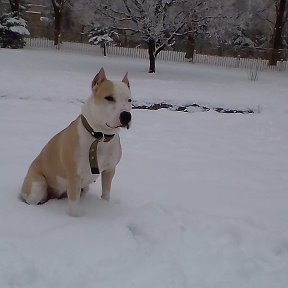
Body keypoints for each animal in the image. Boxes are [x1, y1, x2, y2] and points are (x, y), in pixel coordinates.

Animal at [20, 68, 132, 216]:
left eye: (129, 100)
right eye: (109, 98)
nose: (126, 116)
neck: (99, 137)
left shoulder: (109, 170)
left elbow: (106, 193)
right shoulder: (74, 175)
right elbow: (73, 206)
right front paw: (75, 218)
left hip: (83, 188)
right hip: (37, 186)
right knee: (34, 198)